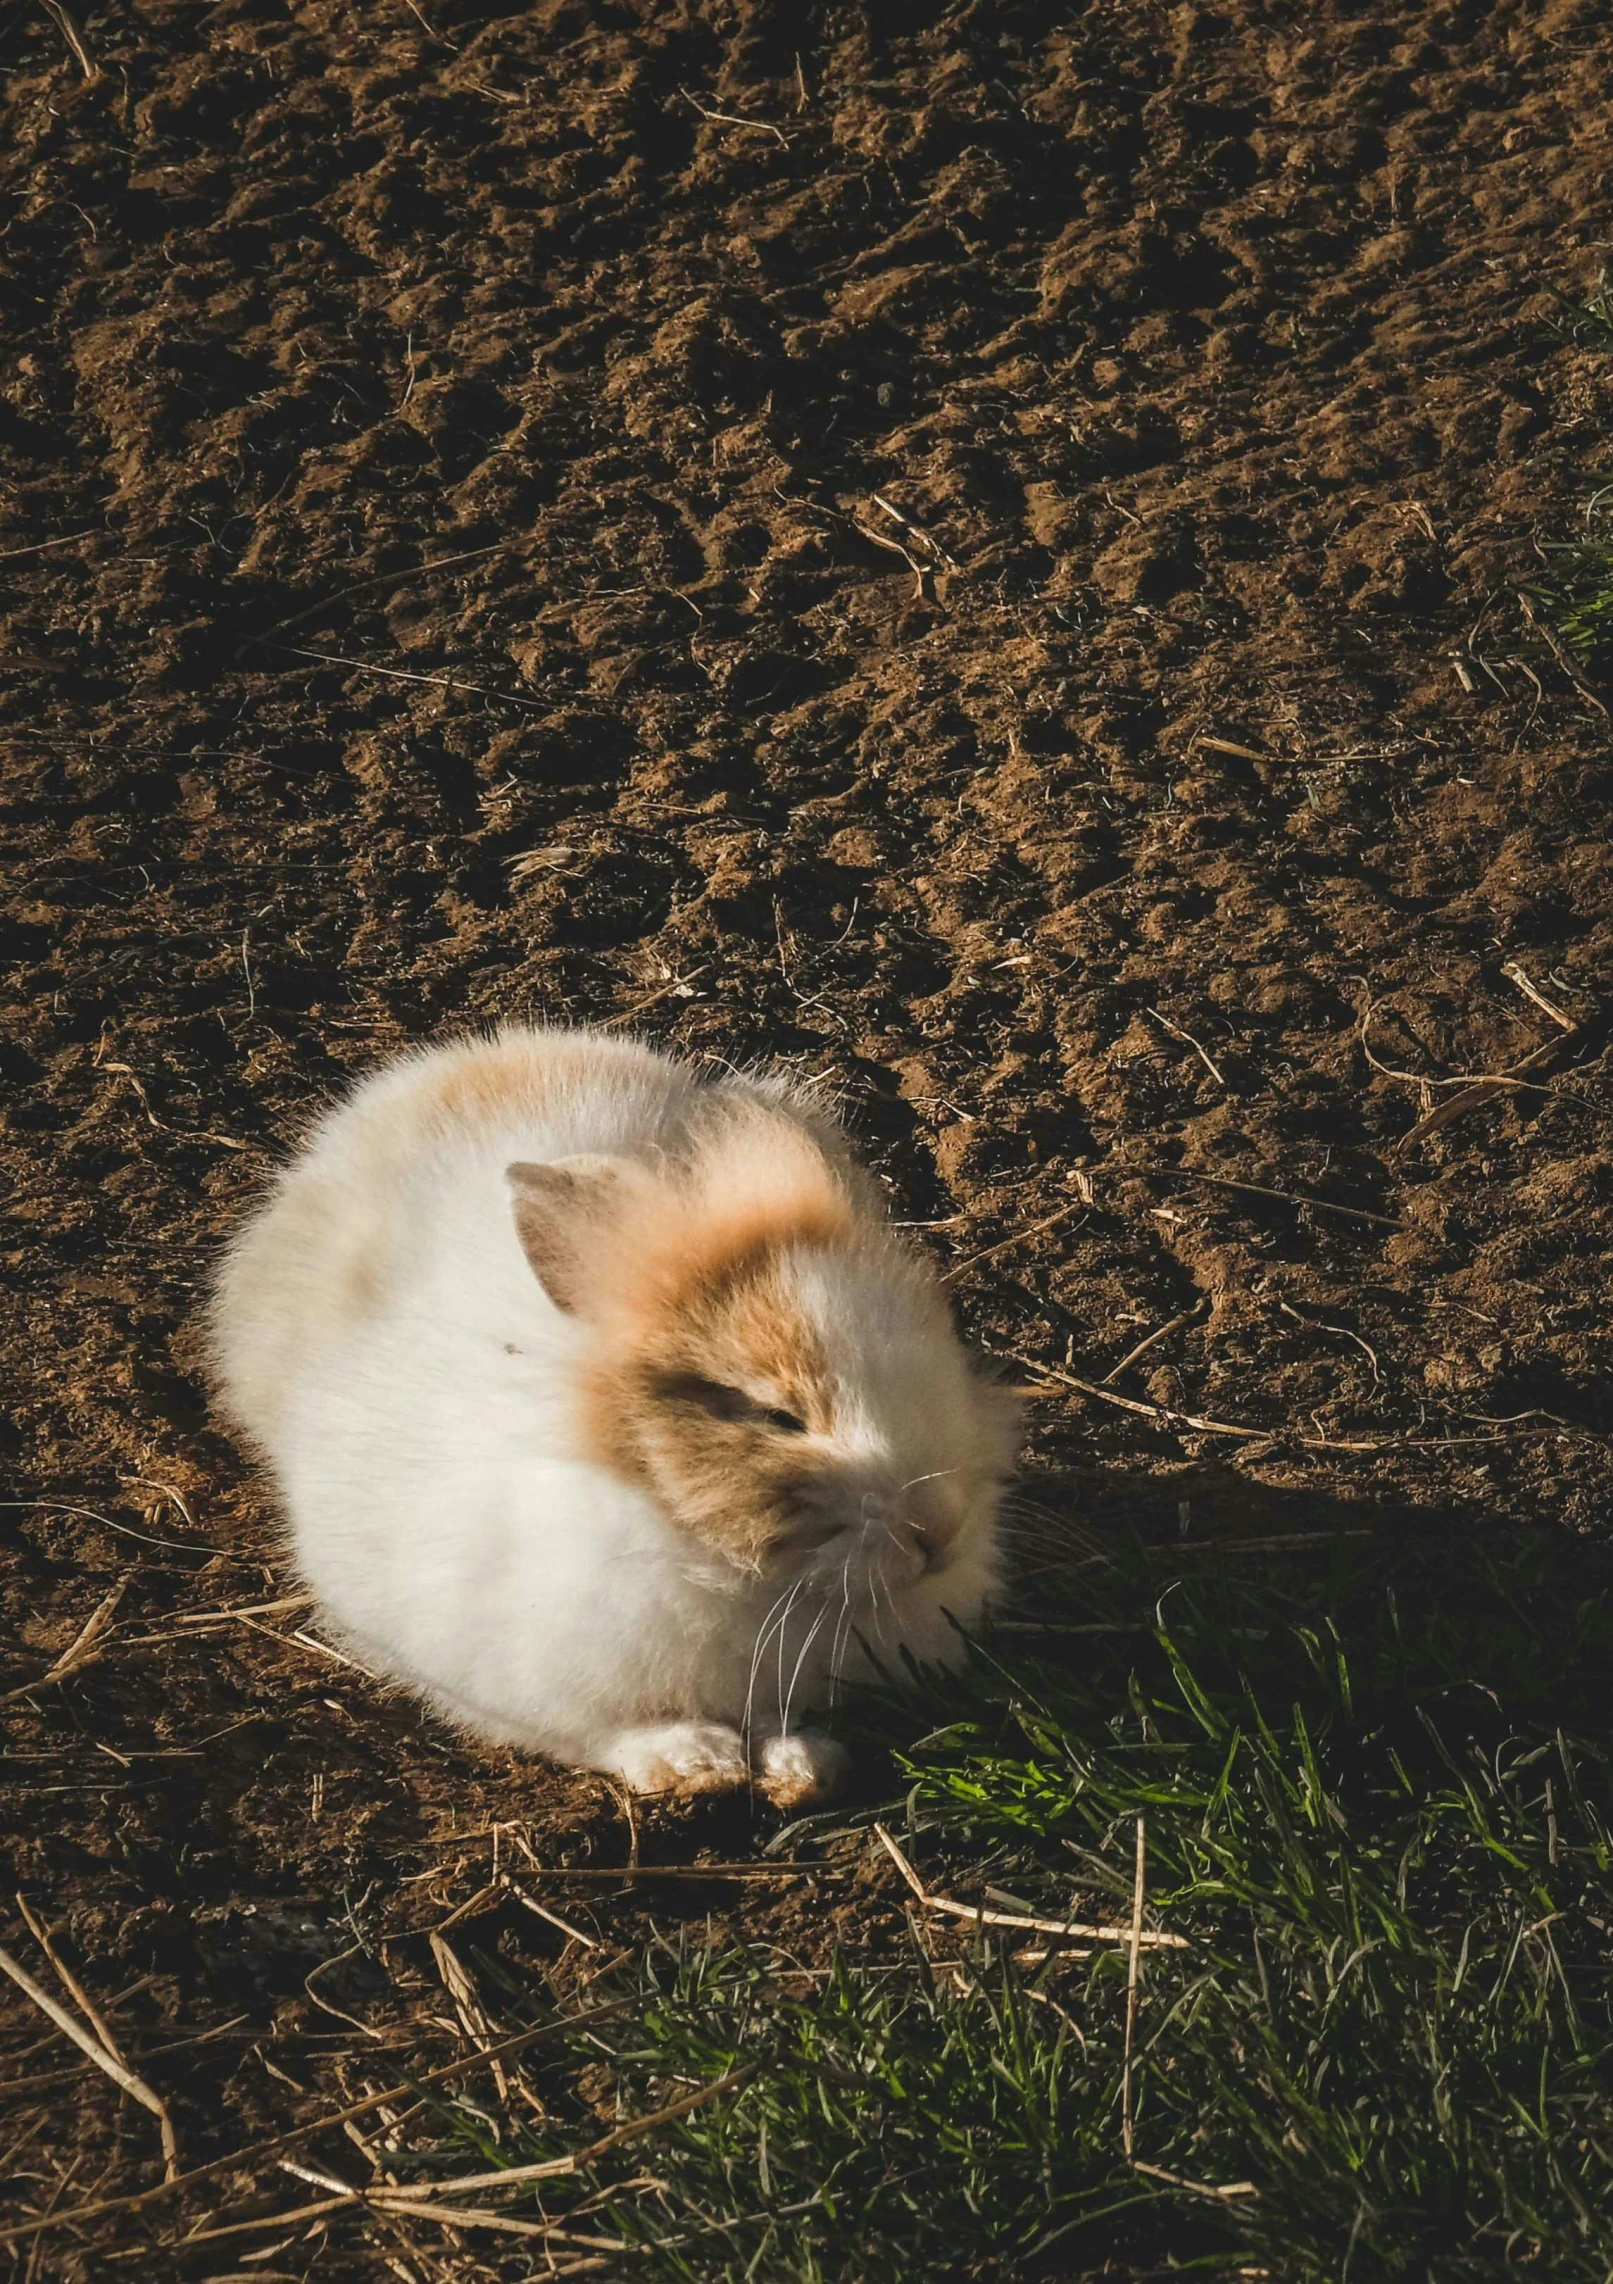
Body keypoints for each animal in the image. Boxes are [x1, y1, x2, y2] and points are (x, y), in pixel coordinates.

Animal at [210, 1032, 1018, 1799]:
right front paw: (693, 1762)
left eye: (943, 1348)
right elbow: (602, 1735)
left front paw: (798, 1765)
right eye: (774, 1415)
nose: (939, 1528)